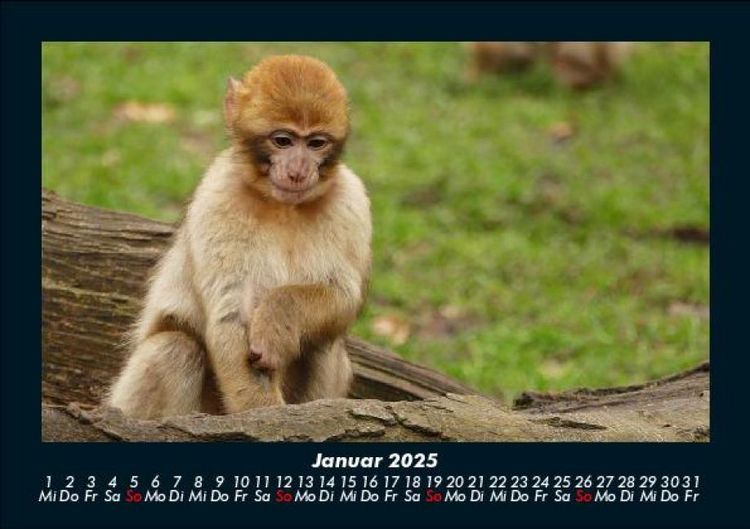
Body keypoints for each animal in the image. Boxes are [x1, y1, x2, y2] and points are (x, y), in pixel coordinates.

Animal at [106, 55, 372, 419]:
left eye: (316, 143)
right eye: (283, 140)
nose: (298, 171)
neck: (284, 207)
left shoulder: (351, 201)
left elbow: (342, 295)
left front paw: (279, 317)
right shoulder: (219, 197)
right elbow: (232, 313)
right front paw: (268, 417)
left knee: (324, 345)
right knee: (175, 348)